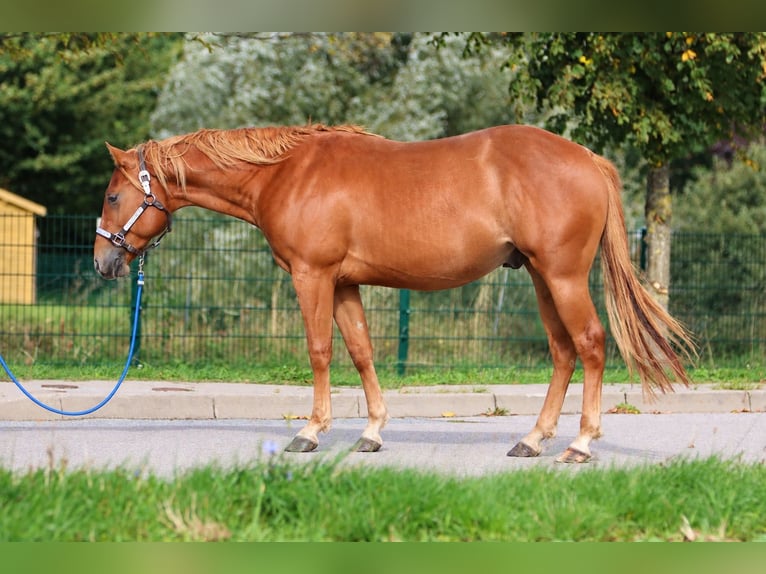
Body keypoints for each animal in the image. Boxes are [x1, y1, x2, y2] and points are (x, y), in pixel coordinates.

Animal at [94, 123, 695, 463]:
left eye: (113, 195)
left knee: (590, 345)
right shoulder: (344, 283)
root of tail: (588, 159)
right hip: (540, 277)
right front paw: (372, 433)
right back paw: (532, 439)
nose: (103, 261)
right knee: (563, 352)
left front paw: (310, 433)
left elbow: (320, 352)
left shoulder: (313, 276)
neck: (285, 172)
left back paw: (579, 444)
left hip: (563, 275)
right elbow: (361, 352)